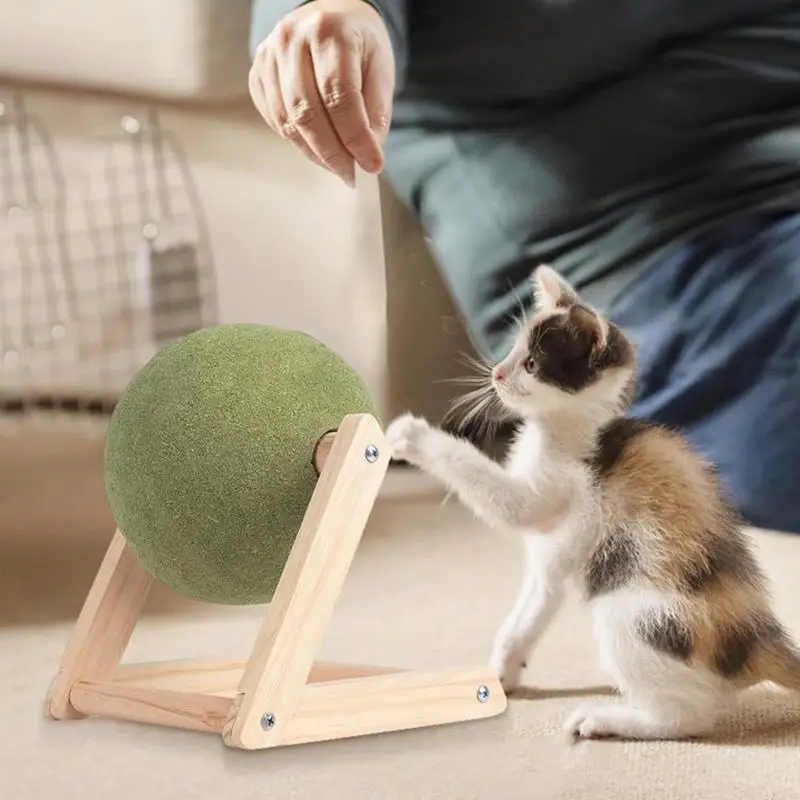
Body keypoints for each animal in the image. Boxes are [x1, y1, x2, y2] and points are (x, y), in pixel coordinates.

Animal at [386, 266, 800, 740]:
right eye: (513, 349)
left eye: (532, 364)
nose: (497, 373)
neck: (571, 428)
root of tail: (757, 640)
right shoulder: (549, 566)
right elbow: (530, 612)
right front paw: (503, 669)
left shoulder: (554, 490)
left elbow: (495, 489)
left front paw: (411, 434)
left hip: (631, 615)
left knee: (688, 718)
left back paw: (606, 718)